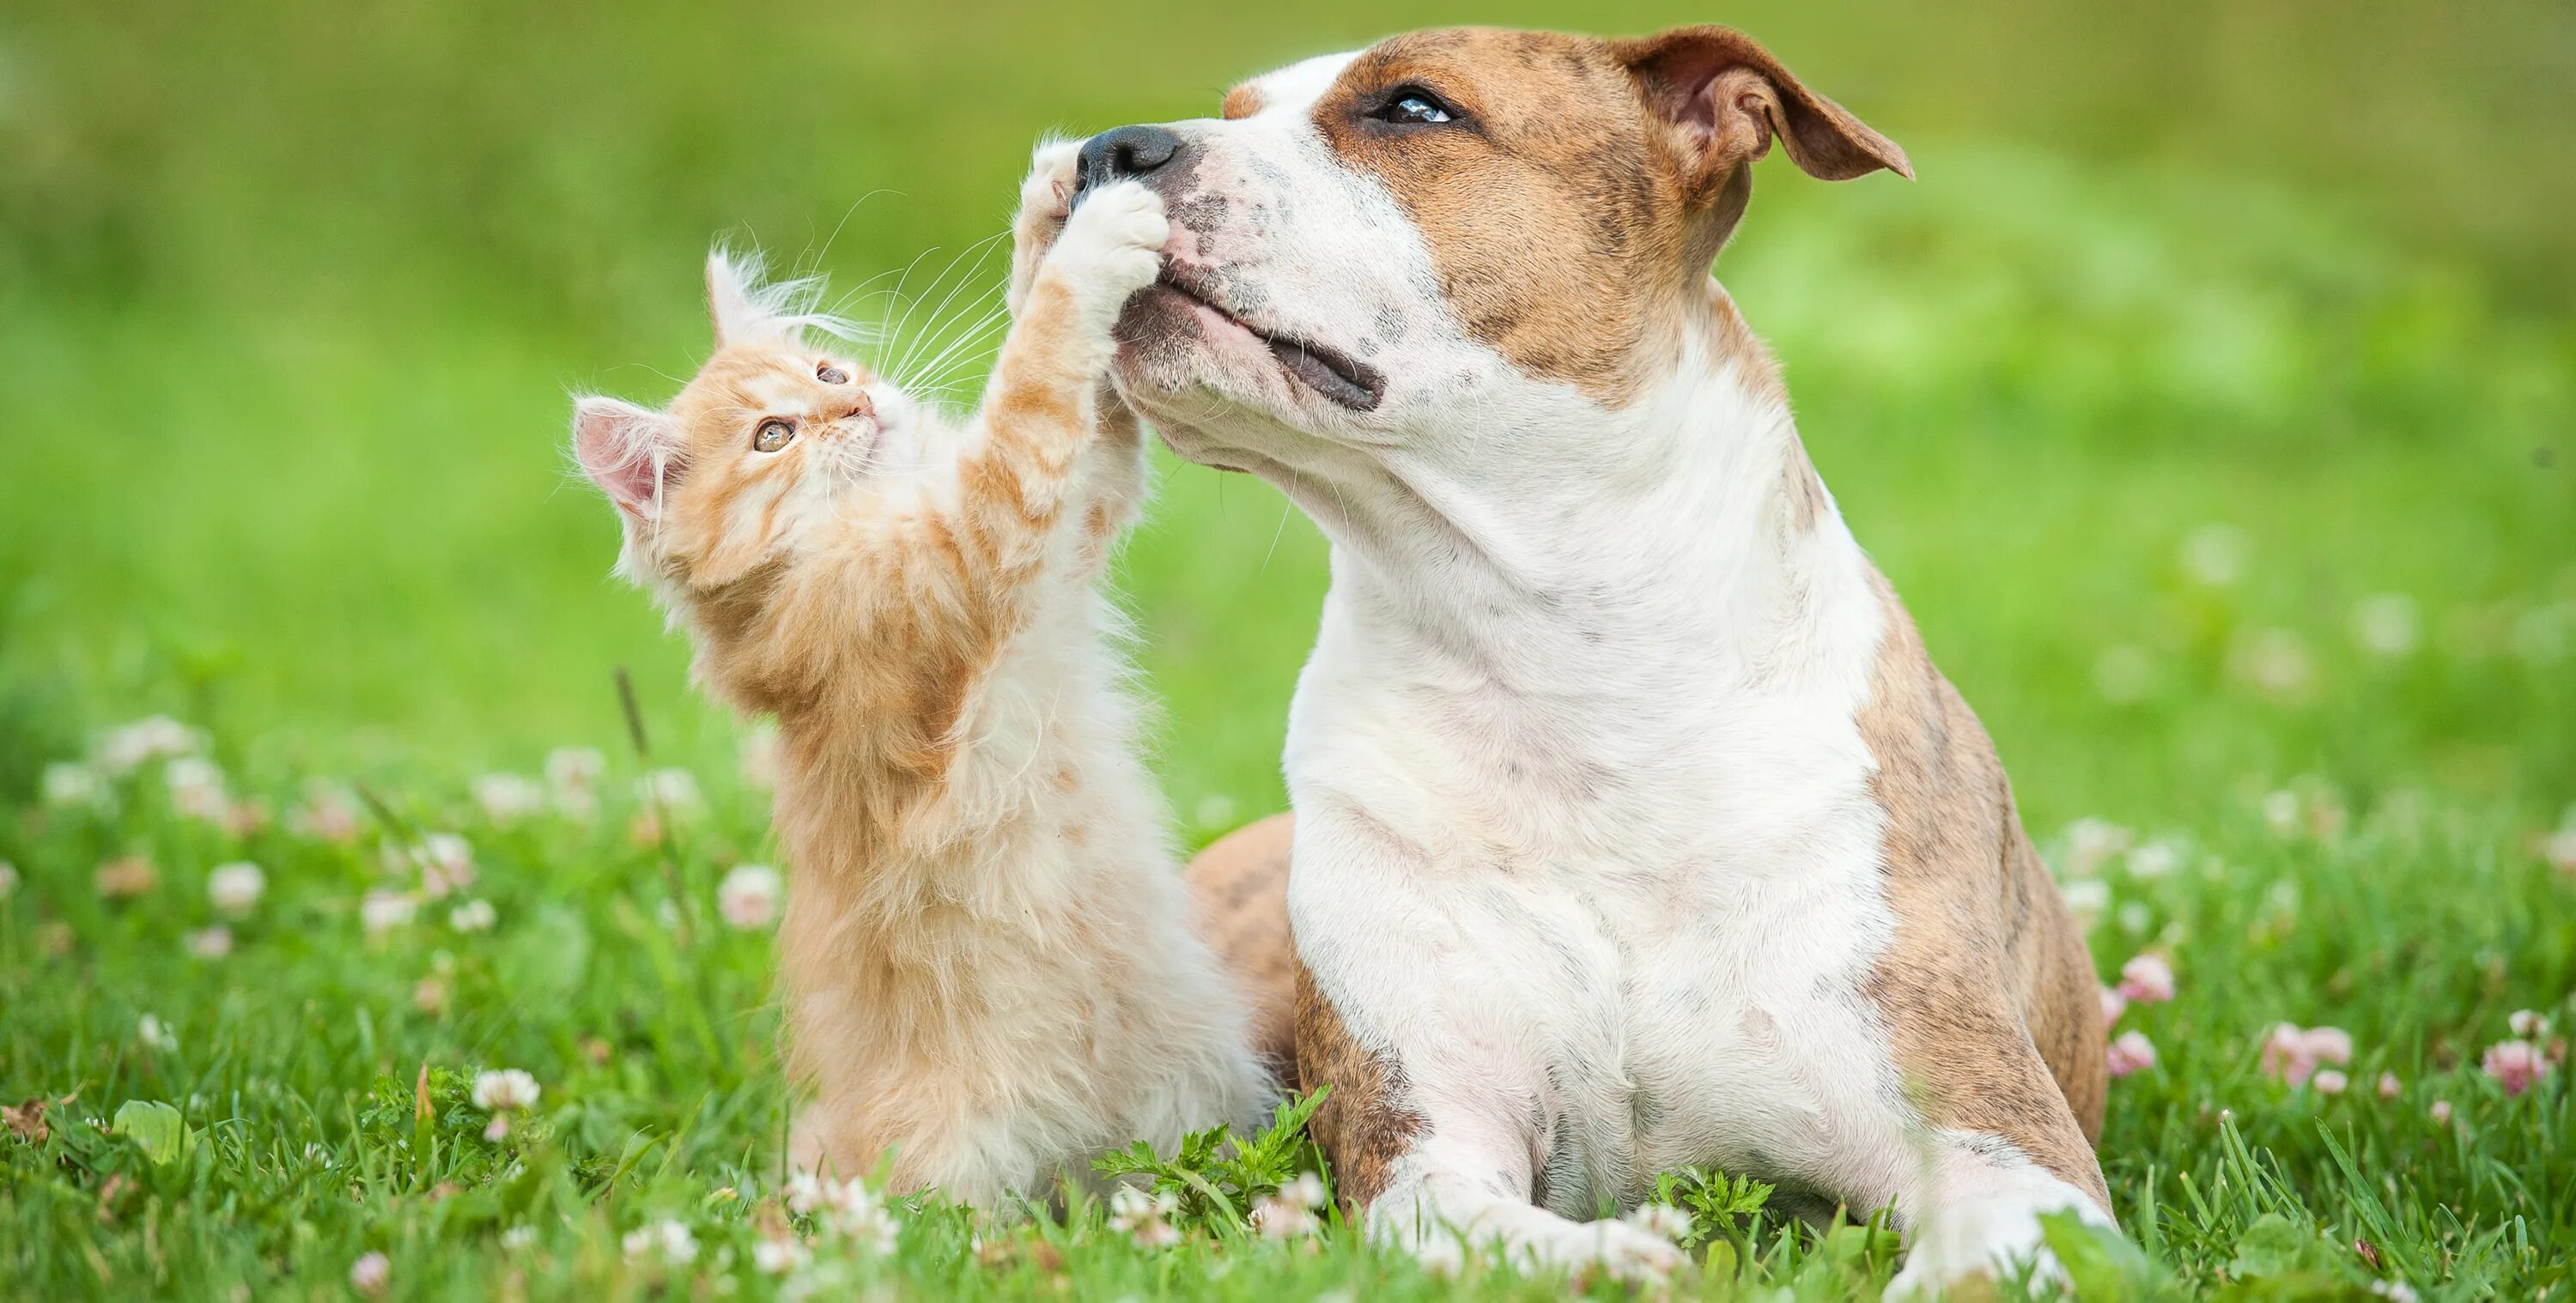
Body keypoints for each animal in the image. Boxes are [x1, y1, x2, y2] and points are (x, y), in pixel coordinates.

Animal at [574, 157, 1278, 1205]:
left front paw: (1050, 206)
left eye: (828, 374)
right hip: (953, 1167)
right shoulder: (967, 549)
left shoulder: (1072, 525)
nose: (858, 407)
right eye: (774, 436)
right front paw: (1093, 240)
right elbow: (1032, 378)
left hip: (1205, 1091)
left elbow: (1082, 411)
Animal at [1097, 25, 2102, 1298]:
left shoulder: (2008, 1151)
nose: (1103, 148)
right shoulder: (1427, 1146)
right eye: (1235, 109)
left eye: (1413, 108)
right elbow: (1521, 1239)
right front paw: (1641, 1257)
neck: (1561, 672)